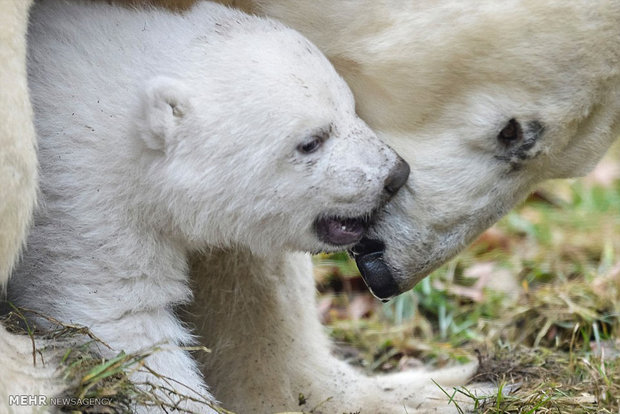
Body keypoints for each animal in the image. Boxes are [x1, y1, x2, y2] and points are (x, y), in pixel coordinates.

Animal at [0, 0, 616, 412]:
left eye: (349, 106)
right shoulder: (91, 192)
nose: (393, 176)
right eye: (511, 133)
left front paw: (444, 389)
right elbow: (123, 316)